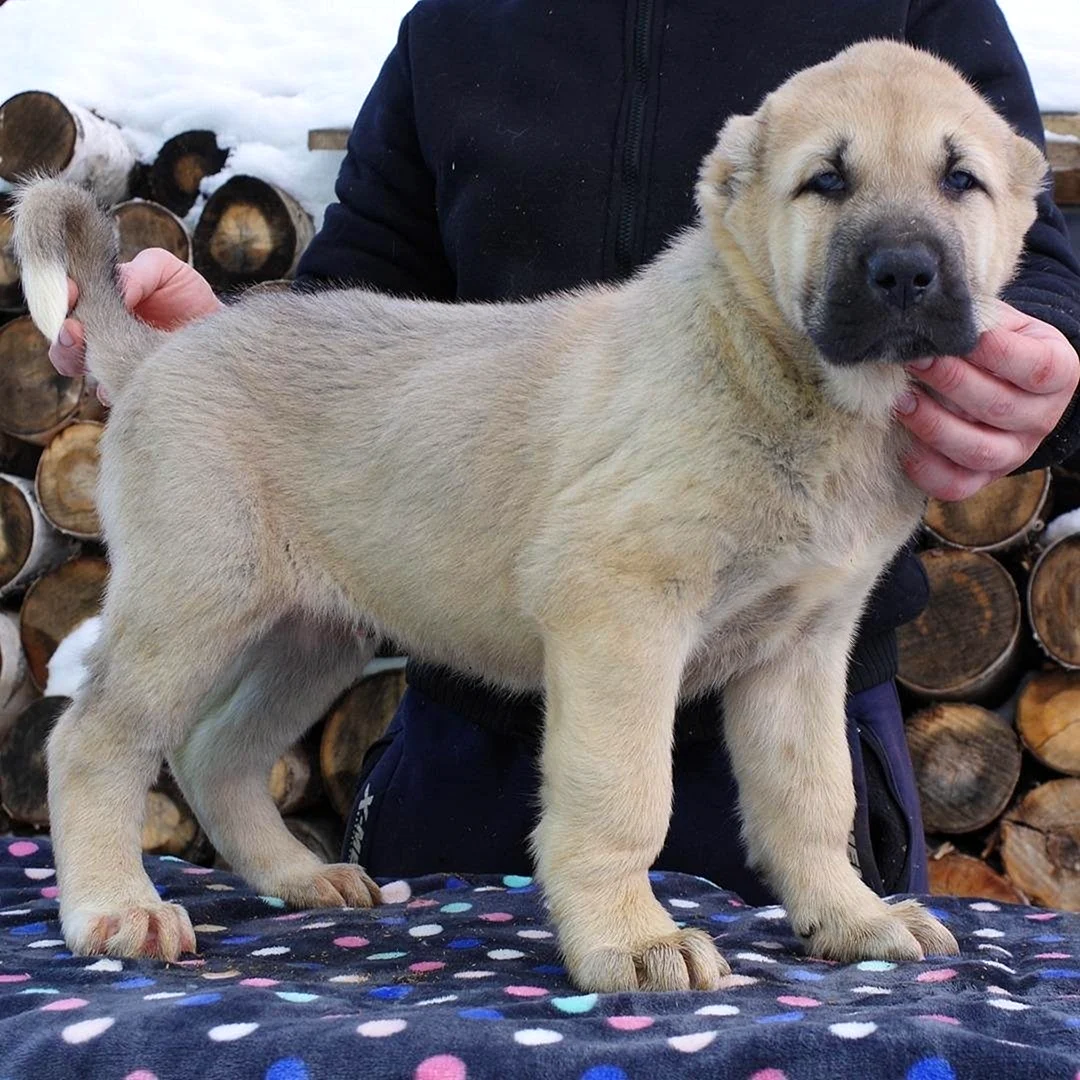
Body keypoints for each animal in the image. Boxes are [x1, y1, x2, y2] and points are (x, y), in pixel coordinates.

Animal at [14, 42, 1045, 993]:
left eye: (960, 180)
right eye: (826, 181)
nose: (905, 274)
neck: (782, 372)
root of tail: (160, 352)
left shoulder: (803, 646)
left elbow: (813, 796)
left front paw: (853, 919)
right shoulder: (620, 617)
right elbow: (624, 795)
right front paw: (633, 941)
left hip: (311, 632)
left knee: (216, 753)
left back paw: (297, 876)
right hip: (194, 600)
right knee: (91, 741)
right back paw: (116, 909)